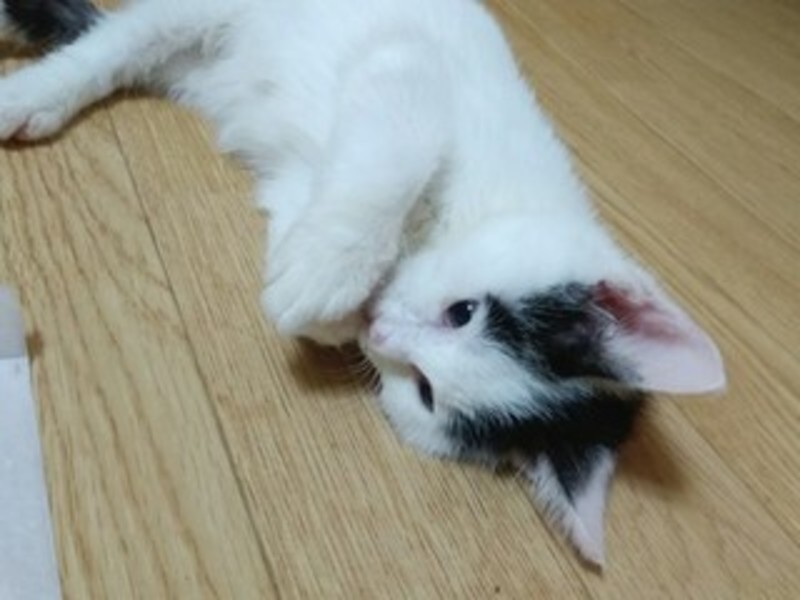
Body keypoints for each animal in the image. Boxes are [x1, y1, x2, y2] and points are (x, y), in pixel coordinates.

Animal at [0, 0, 725, 566]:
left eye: (425, 392)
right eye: (464, 311)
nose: (382, 328)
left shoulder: (294, 189)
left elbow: (303, 232)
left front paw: (326, 297)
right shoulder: (408, 65)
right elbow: (405, 142)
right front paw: (332, 266)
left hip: (196, 72)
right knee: (119, 40)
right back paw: (32, 96)